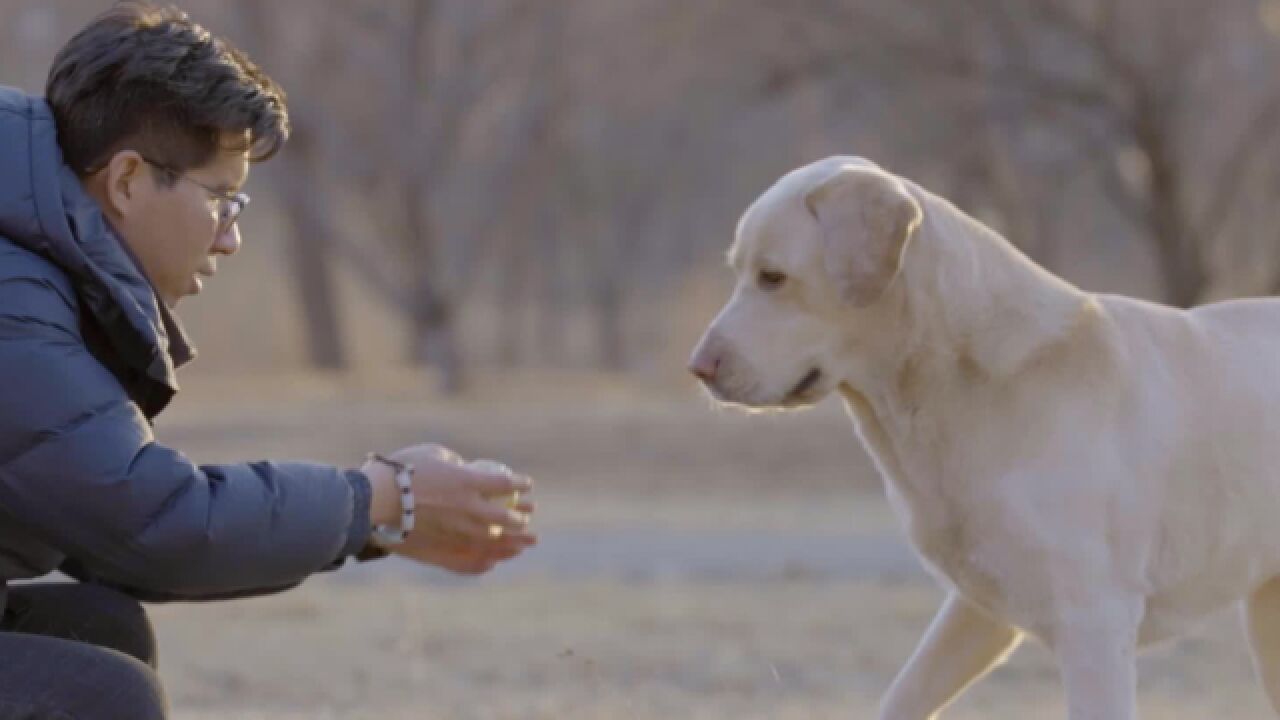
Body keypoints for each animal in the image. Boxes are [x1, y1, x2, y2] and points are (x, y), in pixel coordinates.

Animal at [691, 155, 1280, 717]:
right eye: (740, 272)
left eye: (772, 277)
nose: (698, 368)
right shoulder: (977, 611)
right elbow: (902, 697)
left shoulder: (1095, 621)